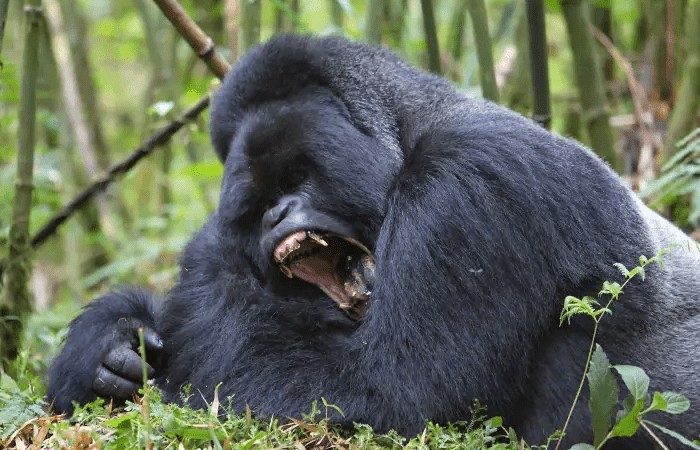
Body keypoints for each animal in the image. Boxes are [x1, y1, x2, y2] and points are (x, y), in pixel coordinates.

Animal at [49, 34, 700, 446]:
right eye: (258, 202)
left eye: (297, 178)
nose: (276, 213)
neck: (412, 127)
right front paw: (107, 346)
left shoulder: (474, 182)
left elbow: (386, 396)